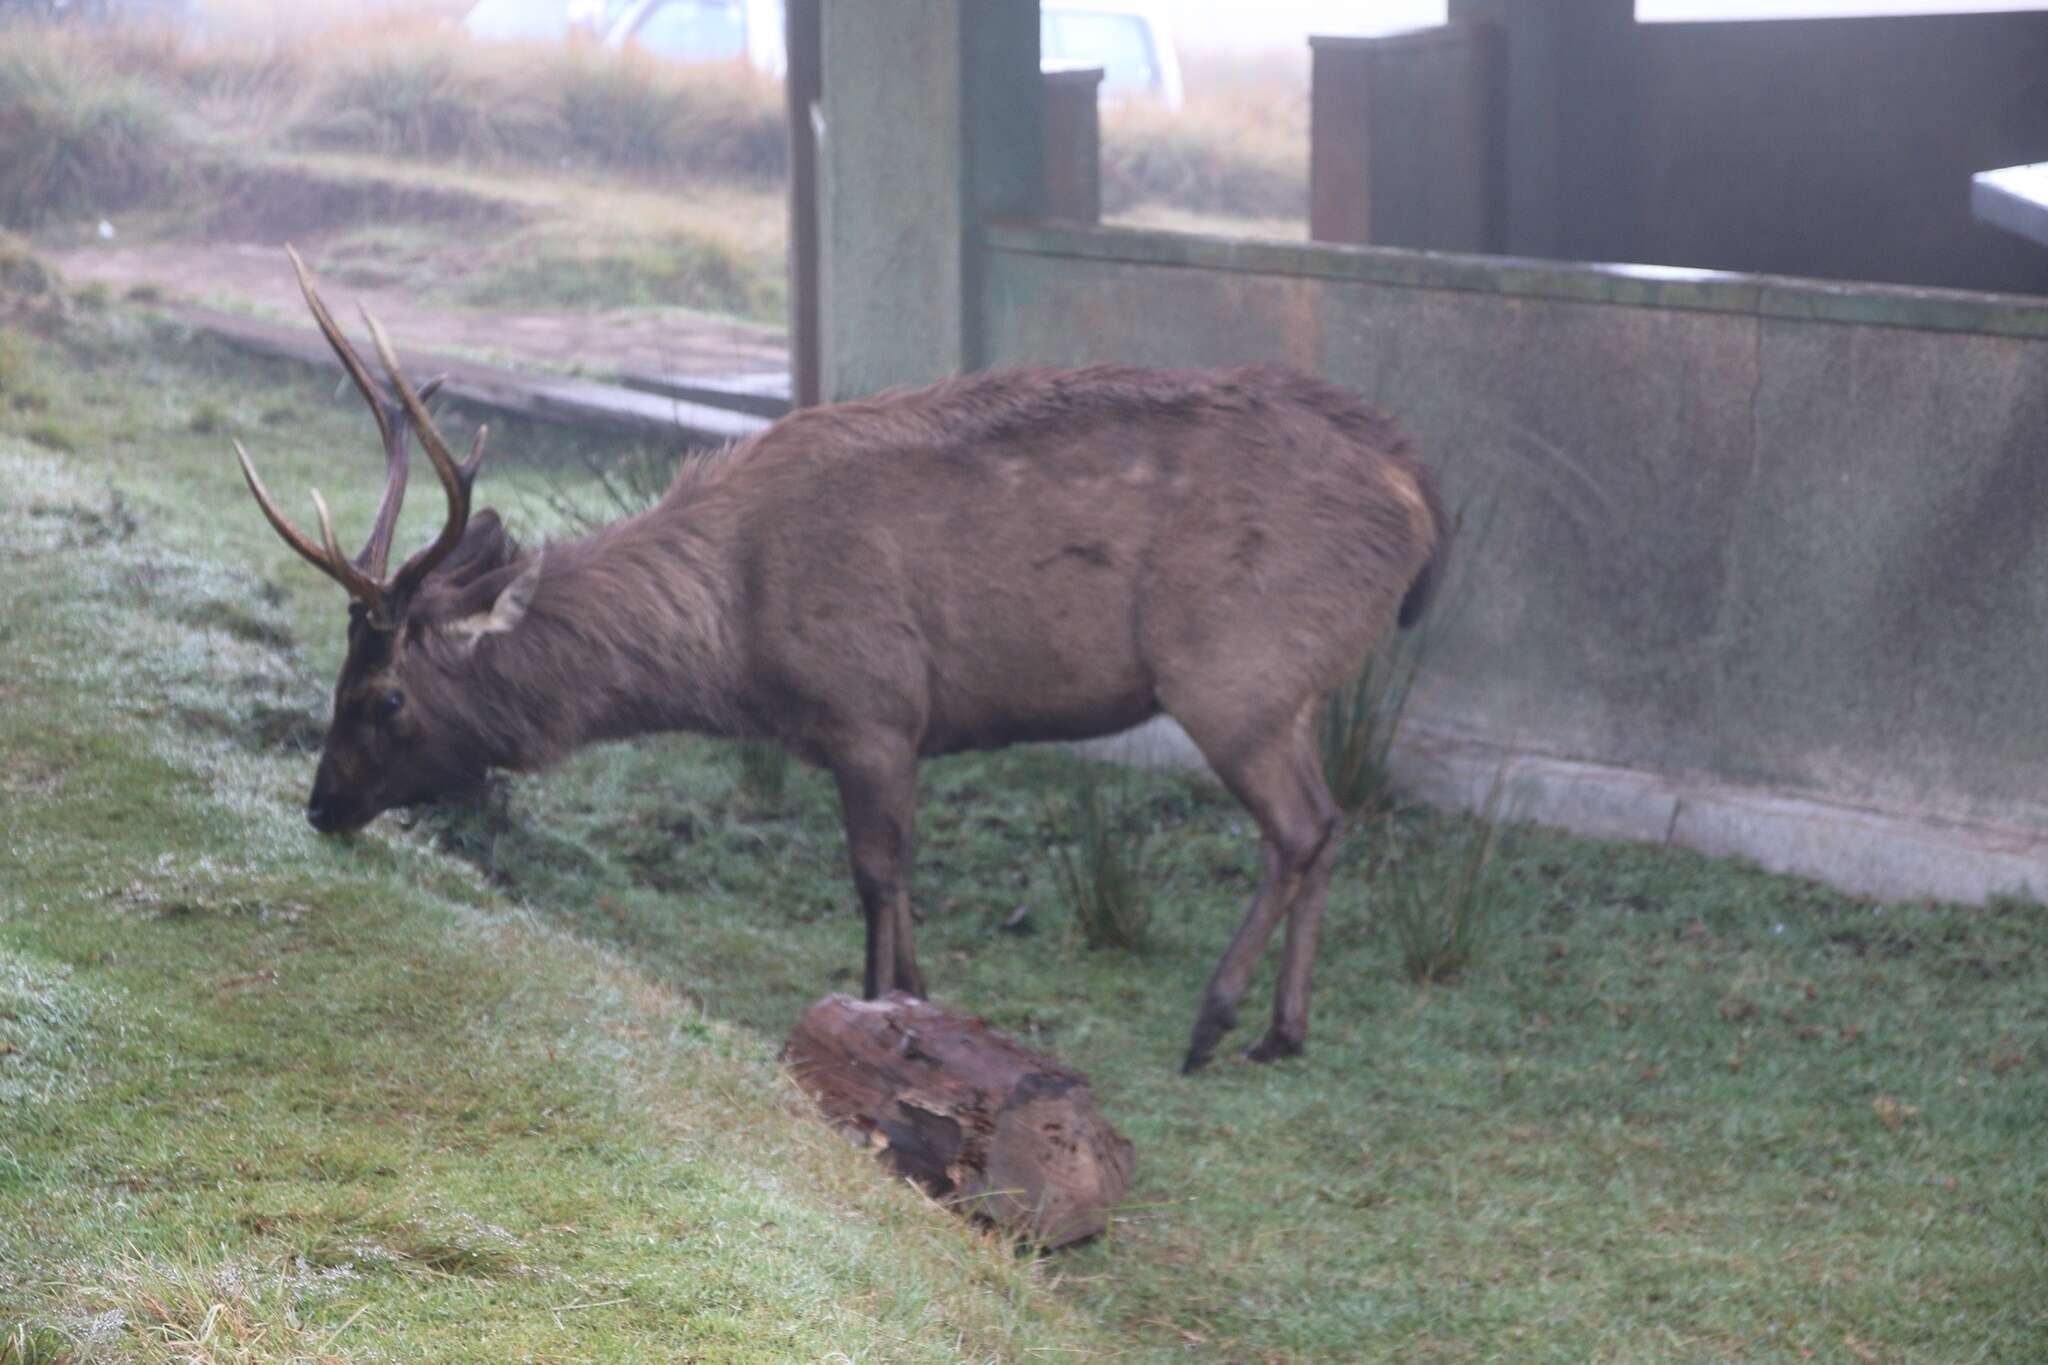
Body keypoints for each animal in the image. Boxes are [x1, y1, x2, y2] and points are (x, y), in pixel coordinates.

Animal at [239, 250, 1449, 1072]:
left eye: (384, 696)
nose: (320, 805)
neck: (733, 637)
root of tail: (1420, 491)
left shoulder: (873, 705)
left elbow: (876, 874)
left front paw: (879, 1016)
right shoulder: (870, 730)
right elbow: (894, 881)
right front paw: (920, 1004)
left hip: (1230, 668)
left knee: (1299, 826)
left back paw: (1216, 1023)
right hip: (1286, 686)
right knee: (1328, 820)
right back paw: (1284, 1031)